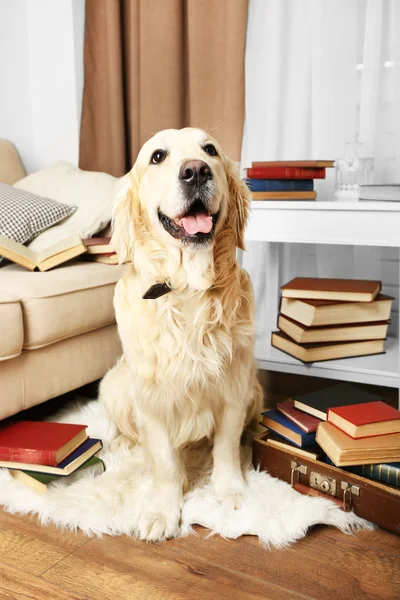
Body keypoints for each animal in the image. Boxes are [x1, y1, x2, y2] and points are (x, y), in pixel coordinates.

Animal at [100, 129, 262, 540]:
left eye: (210, 150)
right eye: (157, 156)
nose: (195, 171)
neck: (187, 289)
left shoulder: (234, 387)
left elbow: (225, 447)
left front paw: (231, 491)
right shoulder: (152, 400)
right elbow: (164, 461)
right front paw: (163, 511)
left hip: (255, 390)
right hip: (114, 385)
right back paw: (121, 442)